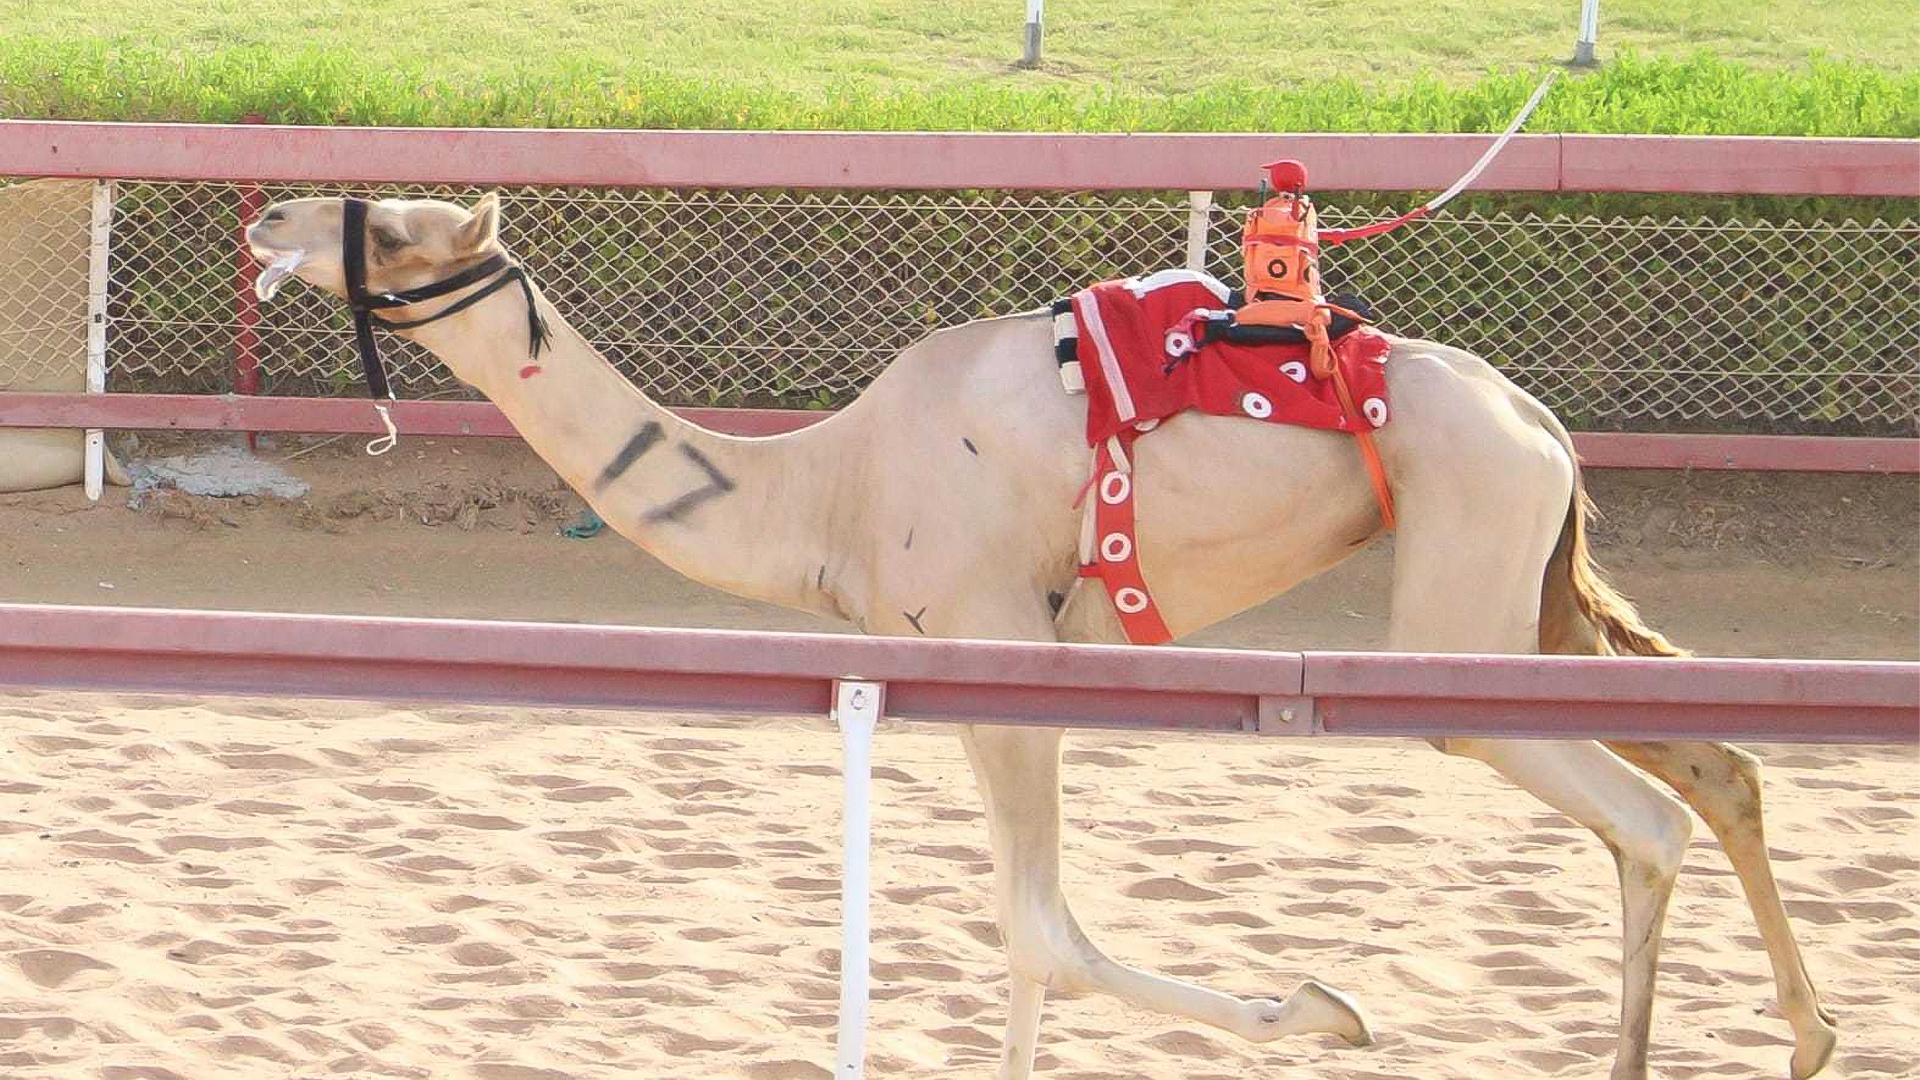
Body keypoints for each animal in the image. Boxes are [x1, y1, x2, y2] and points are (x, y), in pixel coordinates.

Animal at [247, 193, 1835, 1076]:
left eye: (391, 229)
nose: (266, 217)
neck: (830, 489)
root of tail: (1547, 426)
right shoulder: (961, 673)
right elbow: (1020, 936)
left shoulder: (1000, 648)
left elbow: (1042, 931)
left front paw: (1328, 1012)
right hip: (1531, 600)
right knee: (1722, 771)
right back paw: (1811, 1035)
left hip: (1461, 605)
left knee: (1646, 816)